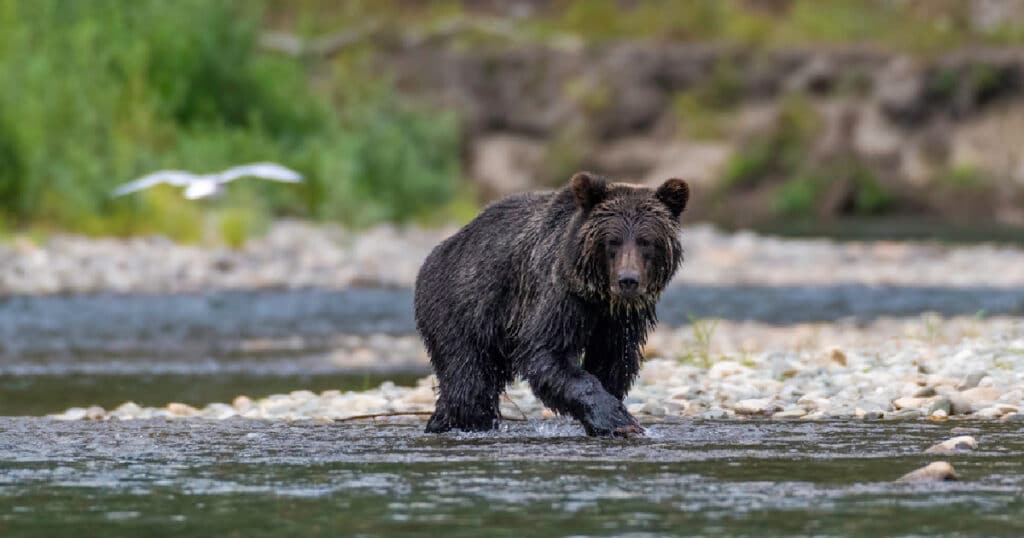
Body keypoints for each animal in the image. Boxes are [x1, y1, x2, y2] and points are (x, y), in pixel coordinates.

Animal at [413, 172, 688, 436]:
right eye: (613, 241)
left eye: (646, 241)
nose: (628, 280)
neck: (598, 298)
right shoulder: (558, 296)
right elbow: (547, 352)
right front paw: (618, 421)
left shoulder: (620, 321)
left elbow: (613, 363)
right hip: (462, 308)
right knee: (468, 383)